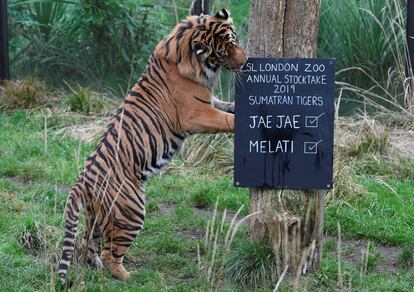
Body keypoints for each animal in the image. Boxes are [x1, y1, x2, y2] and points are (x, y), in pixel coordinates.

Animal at [57, 8, 246, 284]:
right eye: (223, 52)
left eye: (234, 39)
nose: (245, 61)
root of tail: (82, 182)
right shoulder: (196, 113)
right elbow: (226, 119)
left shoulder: (209, 102)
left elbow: (225, 105)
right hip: (131, 212)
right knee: (111, 253)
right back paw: (129, 277)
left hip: (95, 216)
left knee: (87, 244)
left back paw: (96, 266)